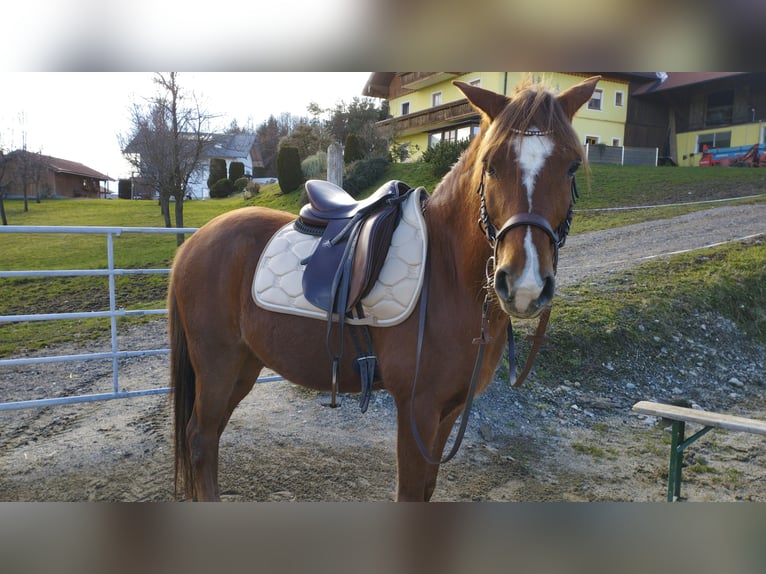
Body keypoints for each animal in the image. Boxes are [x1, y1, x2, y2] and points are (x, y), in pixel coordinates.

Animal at [171, 74, 604, 502]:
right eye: (491, 165)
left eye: (571, 166)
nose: (524, 284)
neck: (447, 273)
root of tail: (195, 241)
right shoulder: (418, 408)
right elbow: (411, 492)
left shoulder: (448, 410)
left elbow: (427, 489)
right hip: (217, 364)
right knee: (201, 439)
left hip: (243, 365)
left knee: (208, 438)